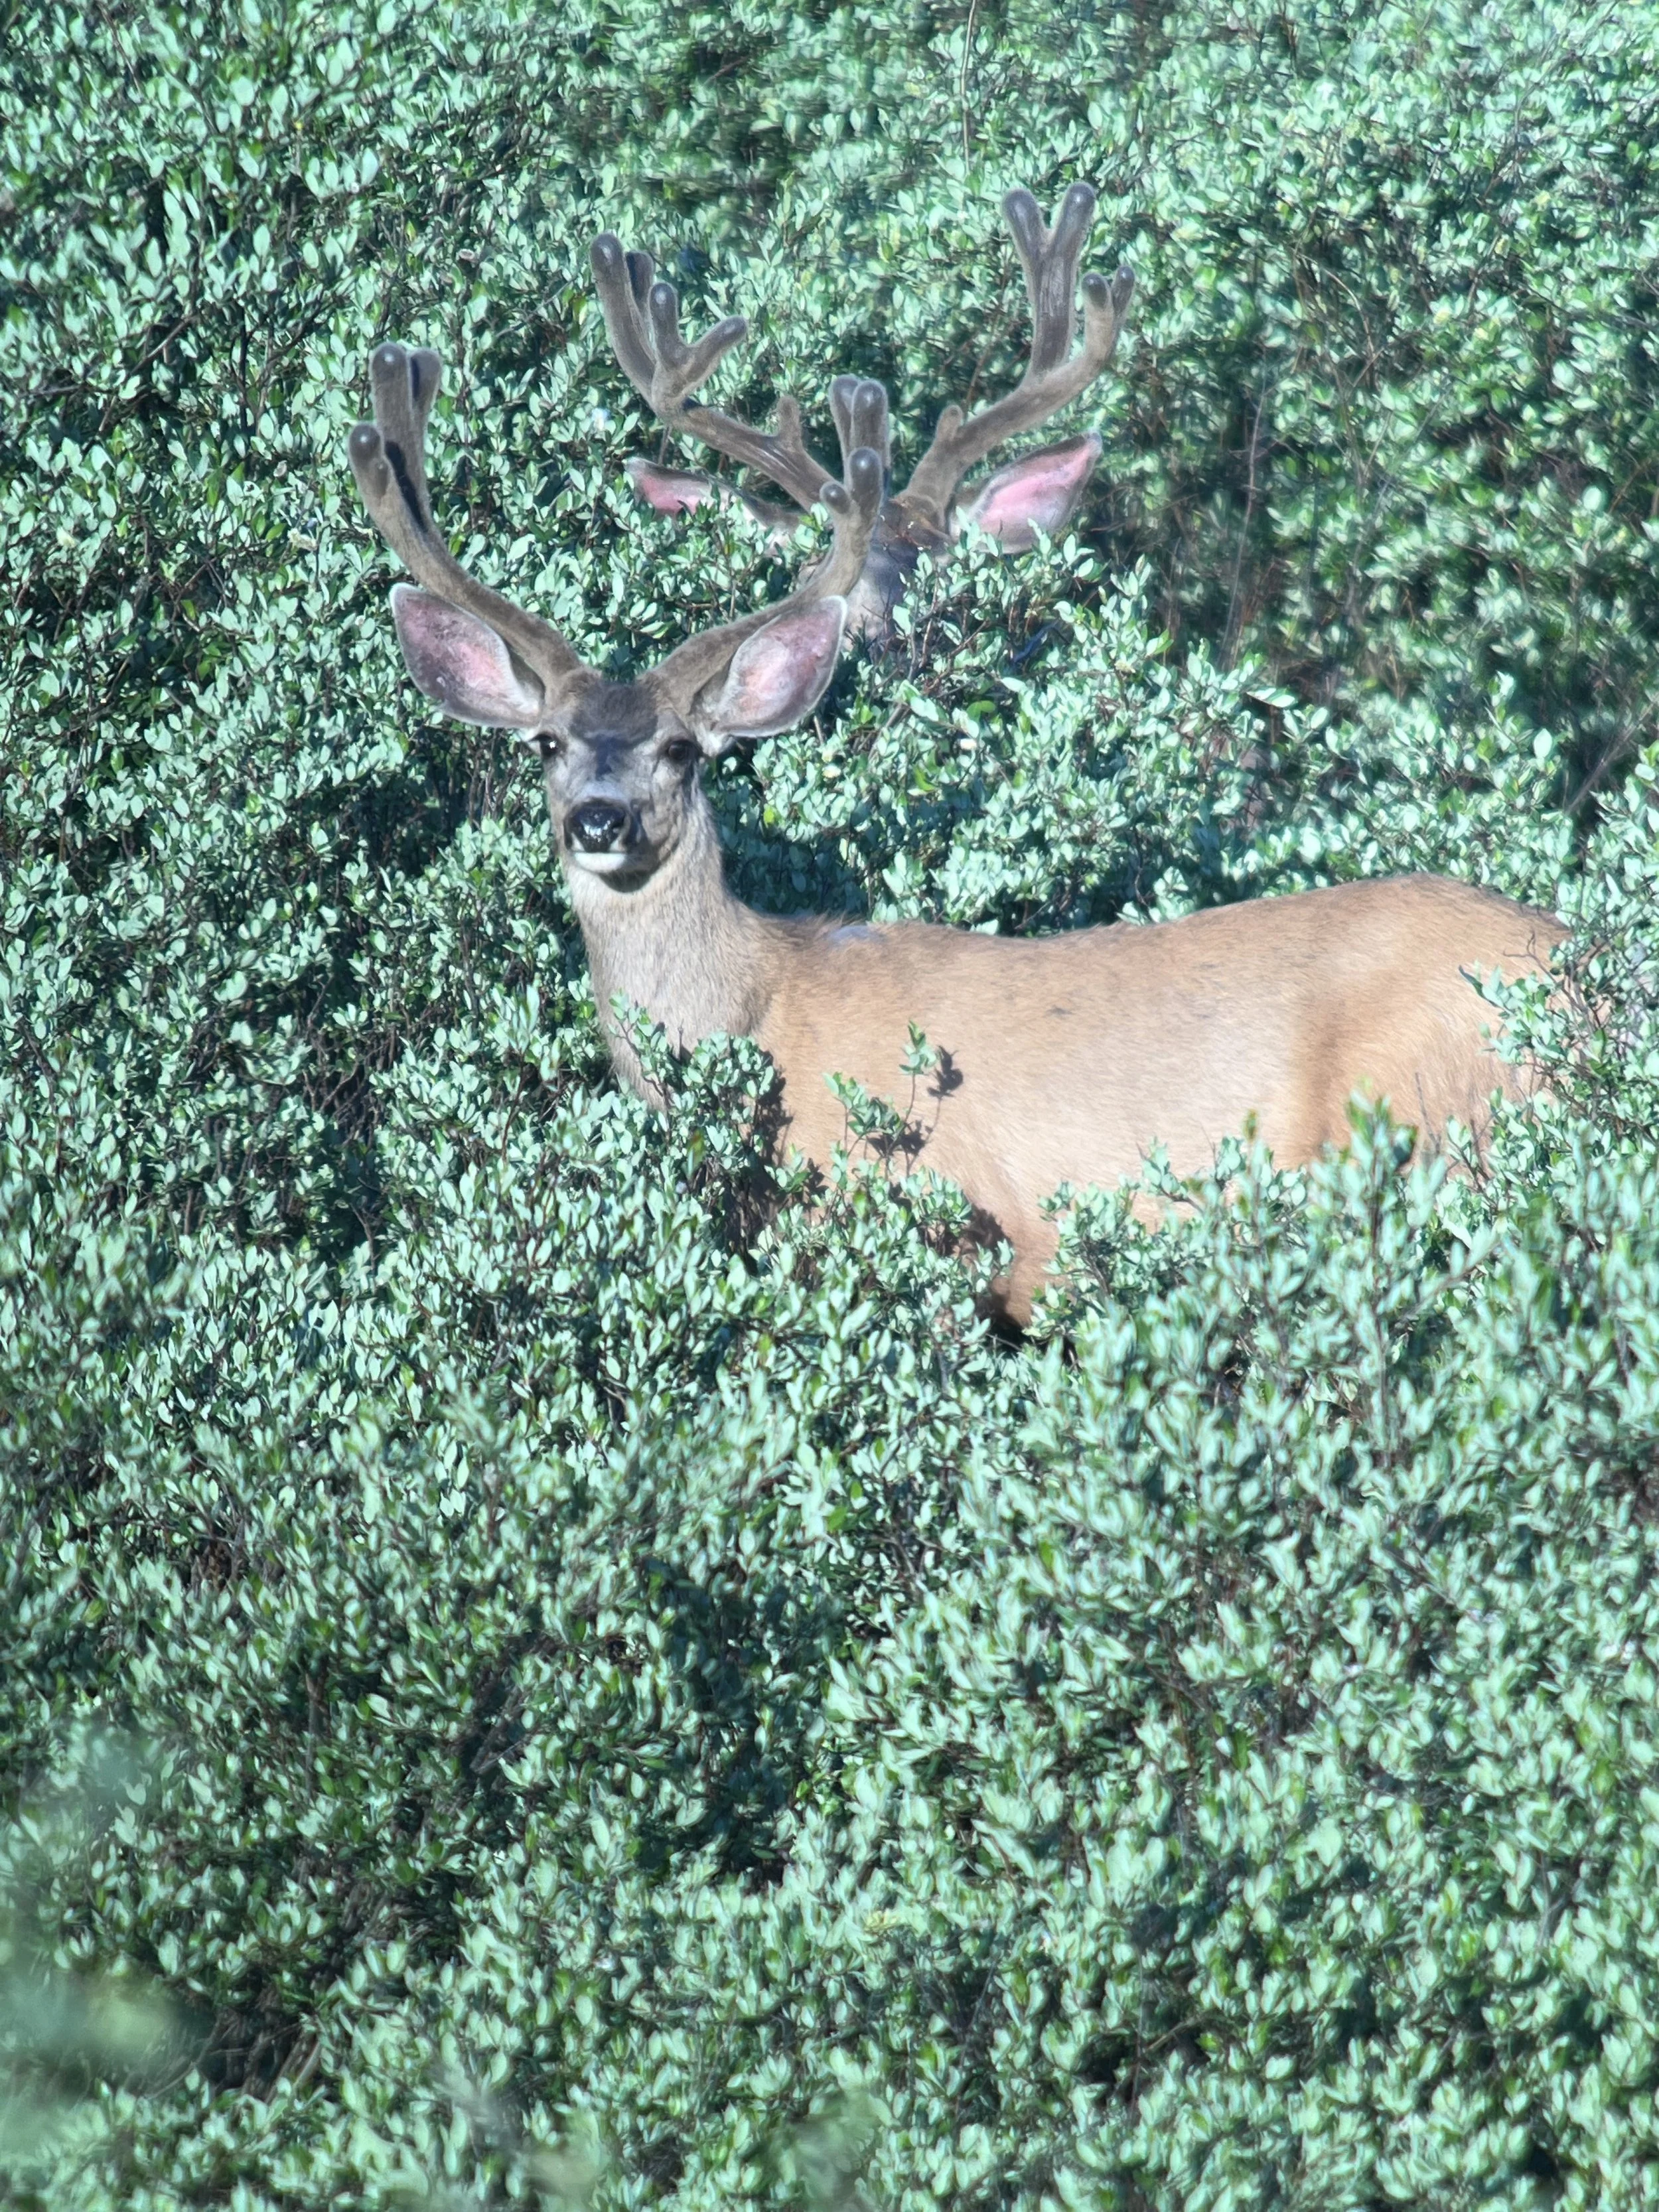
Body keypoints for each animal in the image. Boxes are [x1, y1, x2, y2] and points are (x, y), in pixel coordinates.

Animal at [348, 182, 1563, 1324]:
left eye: (685, 748)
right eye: (547, 740)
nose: (600, 819)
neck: (764, 1012)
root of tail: (1581, 967)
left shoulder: (945, 1223)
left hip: (1442, 1125)